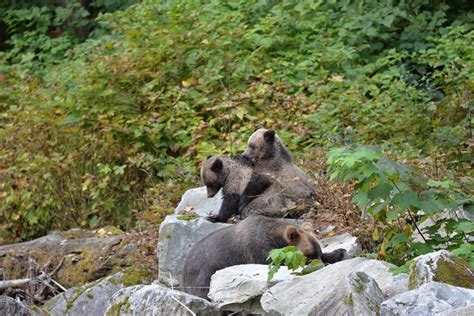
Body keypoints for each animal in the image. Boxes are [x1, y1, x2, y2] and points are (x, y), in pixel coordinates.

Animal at [181, 215, 344, 298]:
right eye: (308, 255)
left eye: (318, 252)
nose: (320, 265)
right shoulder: (258, 251)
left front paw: (338, 252)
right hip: (204, 274)